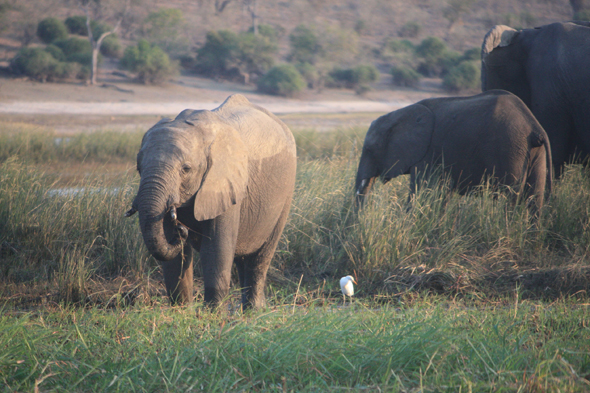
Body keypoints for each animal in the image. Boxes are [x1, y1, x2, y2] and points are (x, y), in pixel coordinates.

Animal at [126, 93, 298, 308]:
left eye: (186, 169)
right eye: (139, 168)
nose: (180, 229)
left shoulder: (225, 183)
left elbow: (215, 248)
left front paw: (211, 312)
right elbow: (174, 257)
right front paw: (181, 310)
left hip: (286, 192)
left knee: (259, 258)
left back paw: (254, 310)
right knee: (241, 256)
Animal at [356, 90, 556, 211]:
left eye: (369, 149)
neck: (397, 114)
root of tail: (534, 126)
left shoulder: (426, 156)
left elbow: (420, 194)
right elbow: (440, 195)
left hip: (509, 148)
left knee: (506, 197)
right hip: (534, 152)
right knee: (534, 200)